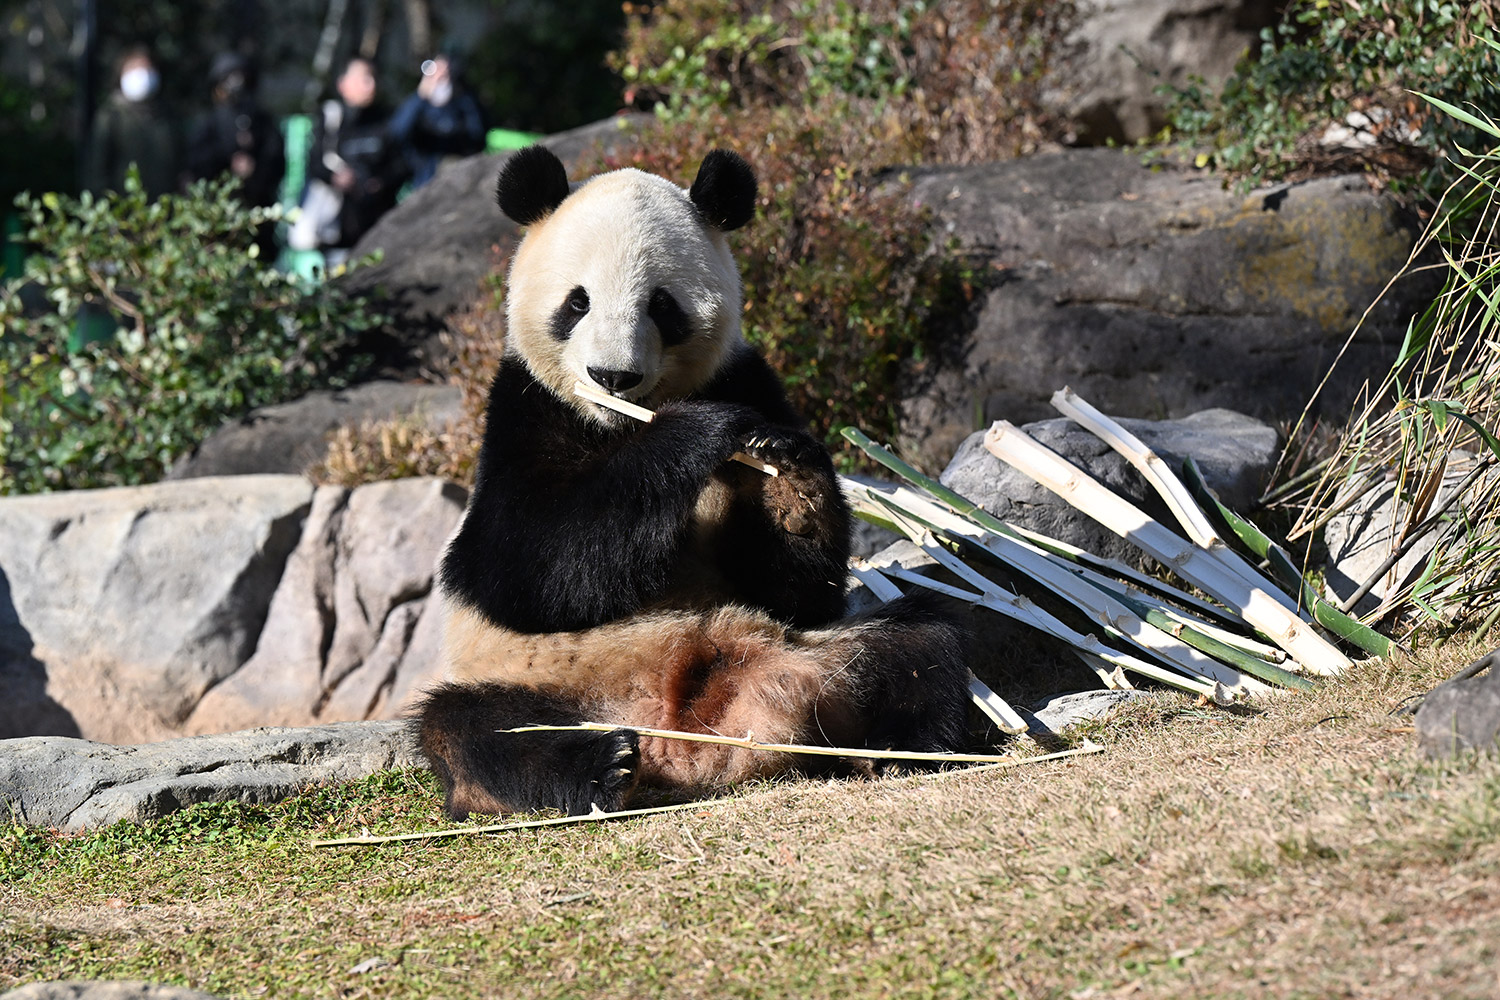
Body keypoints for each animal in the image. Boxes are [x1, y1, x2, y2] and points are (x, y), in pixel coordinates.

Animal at [416, 145, 972, 819]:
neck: (616, 426)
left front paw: (786, 467)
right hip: (529, 678)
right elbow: (518, 563)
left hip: (814, 648)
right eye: (577, 303)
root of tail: (690, 737)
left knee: (919, 643)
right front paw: (698, 432)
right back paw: (602, 767)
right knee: (474, 733)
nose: (612, 377)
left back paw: (907, 747)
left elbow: (799, 589)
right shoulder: (522, 411)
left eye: (661, 305)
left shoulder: (747, 376)